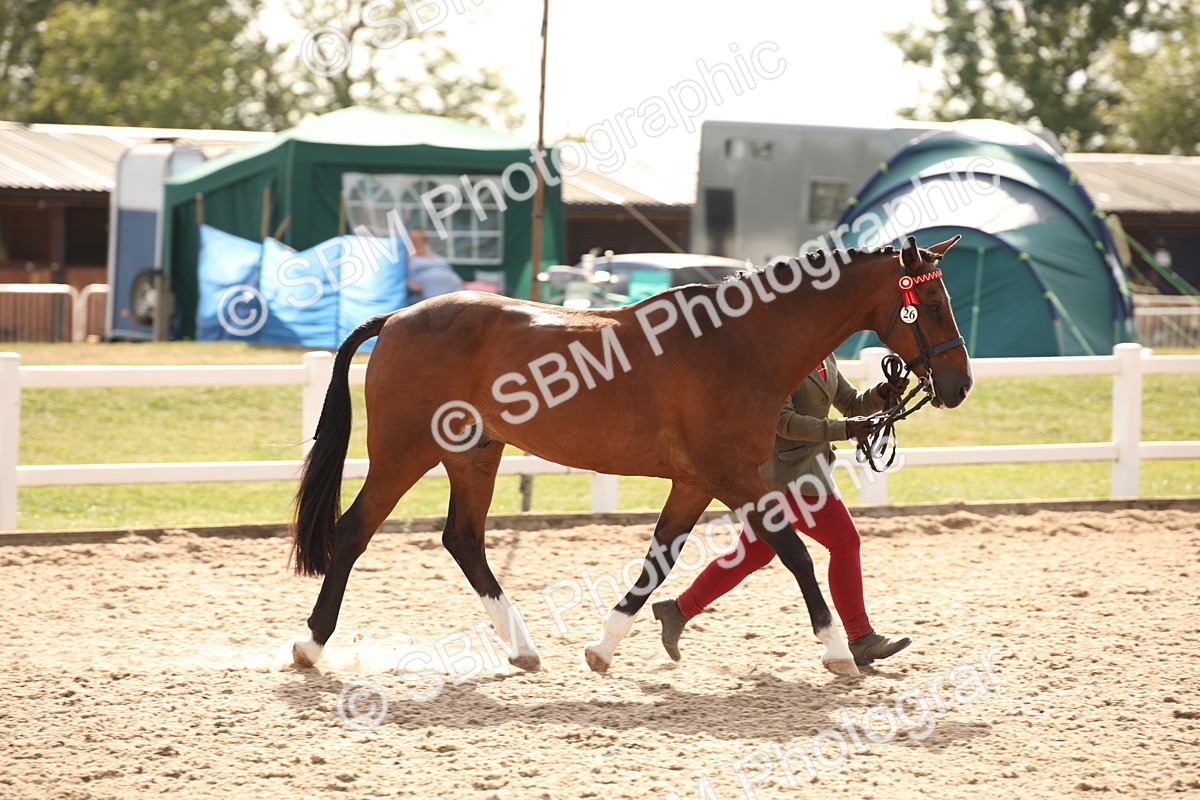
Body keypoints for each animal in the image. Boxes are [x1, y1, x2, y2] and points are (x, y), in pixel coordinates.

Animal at [289, 234, 972, 678]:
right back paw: (310, 646)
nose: (959, 384)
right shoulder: (732, 475)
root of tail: (397, 316)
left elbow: (658, 562)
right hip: (404, 453)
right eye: (935, 305)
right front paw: (836, 653)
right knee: (354, 531)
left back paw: (523, 648)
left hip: (474, 454)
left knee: (463, 539)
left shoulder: (697, 482)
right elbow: (796, 554)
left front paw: (603, 649)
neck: (740, 344)